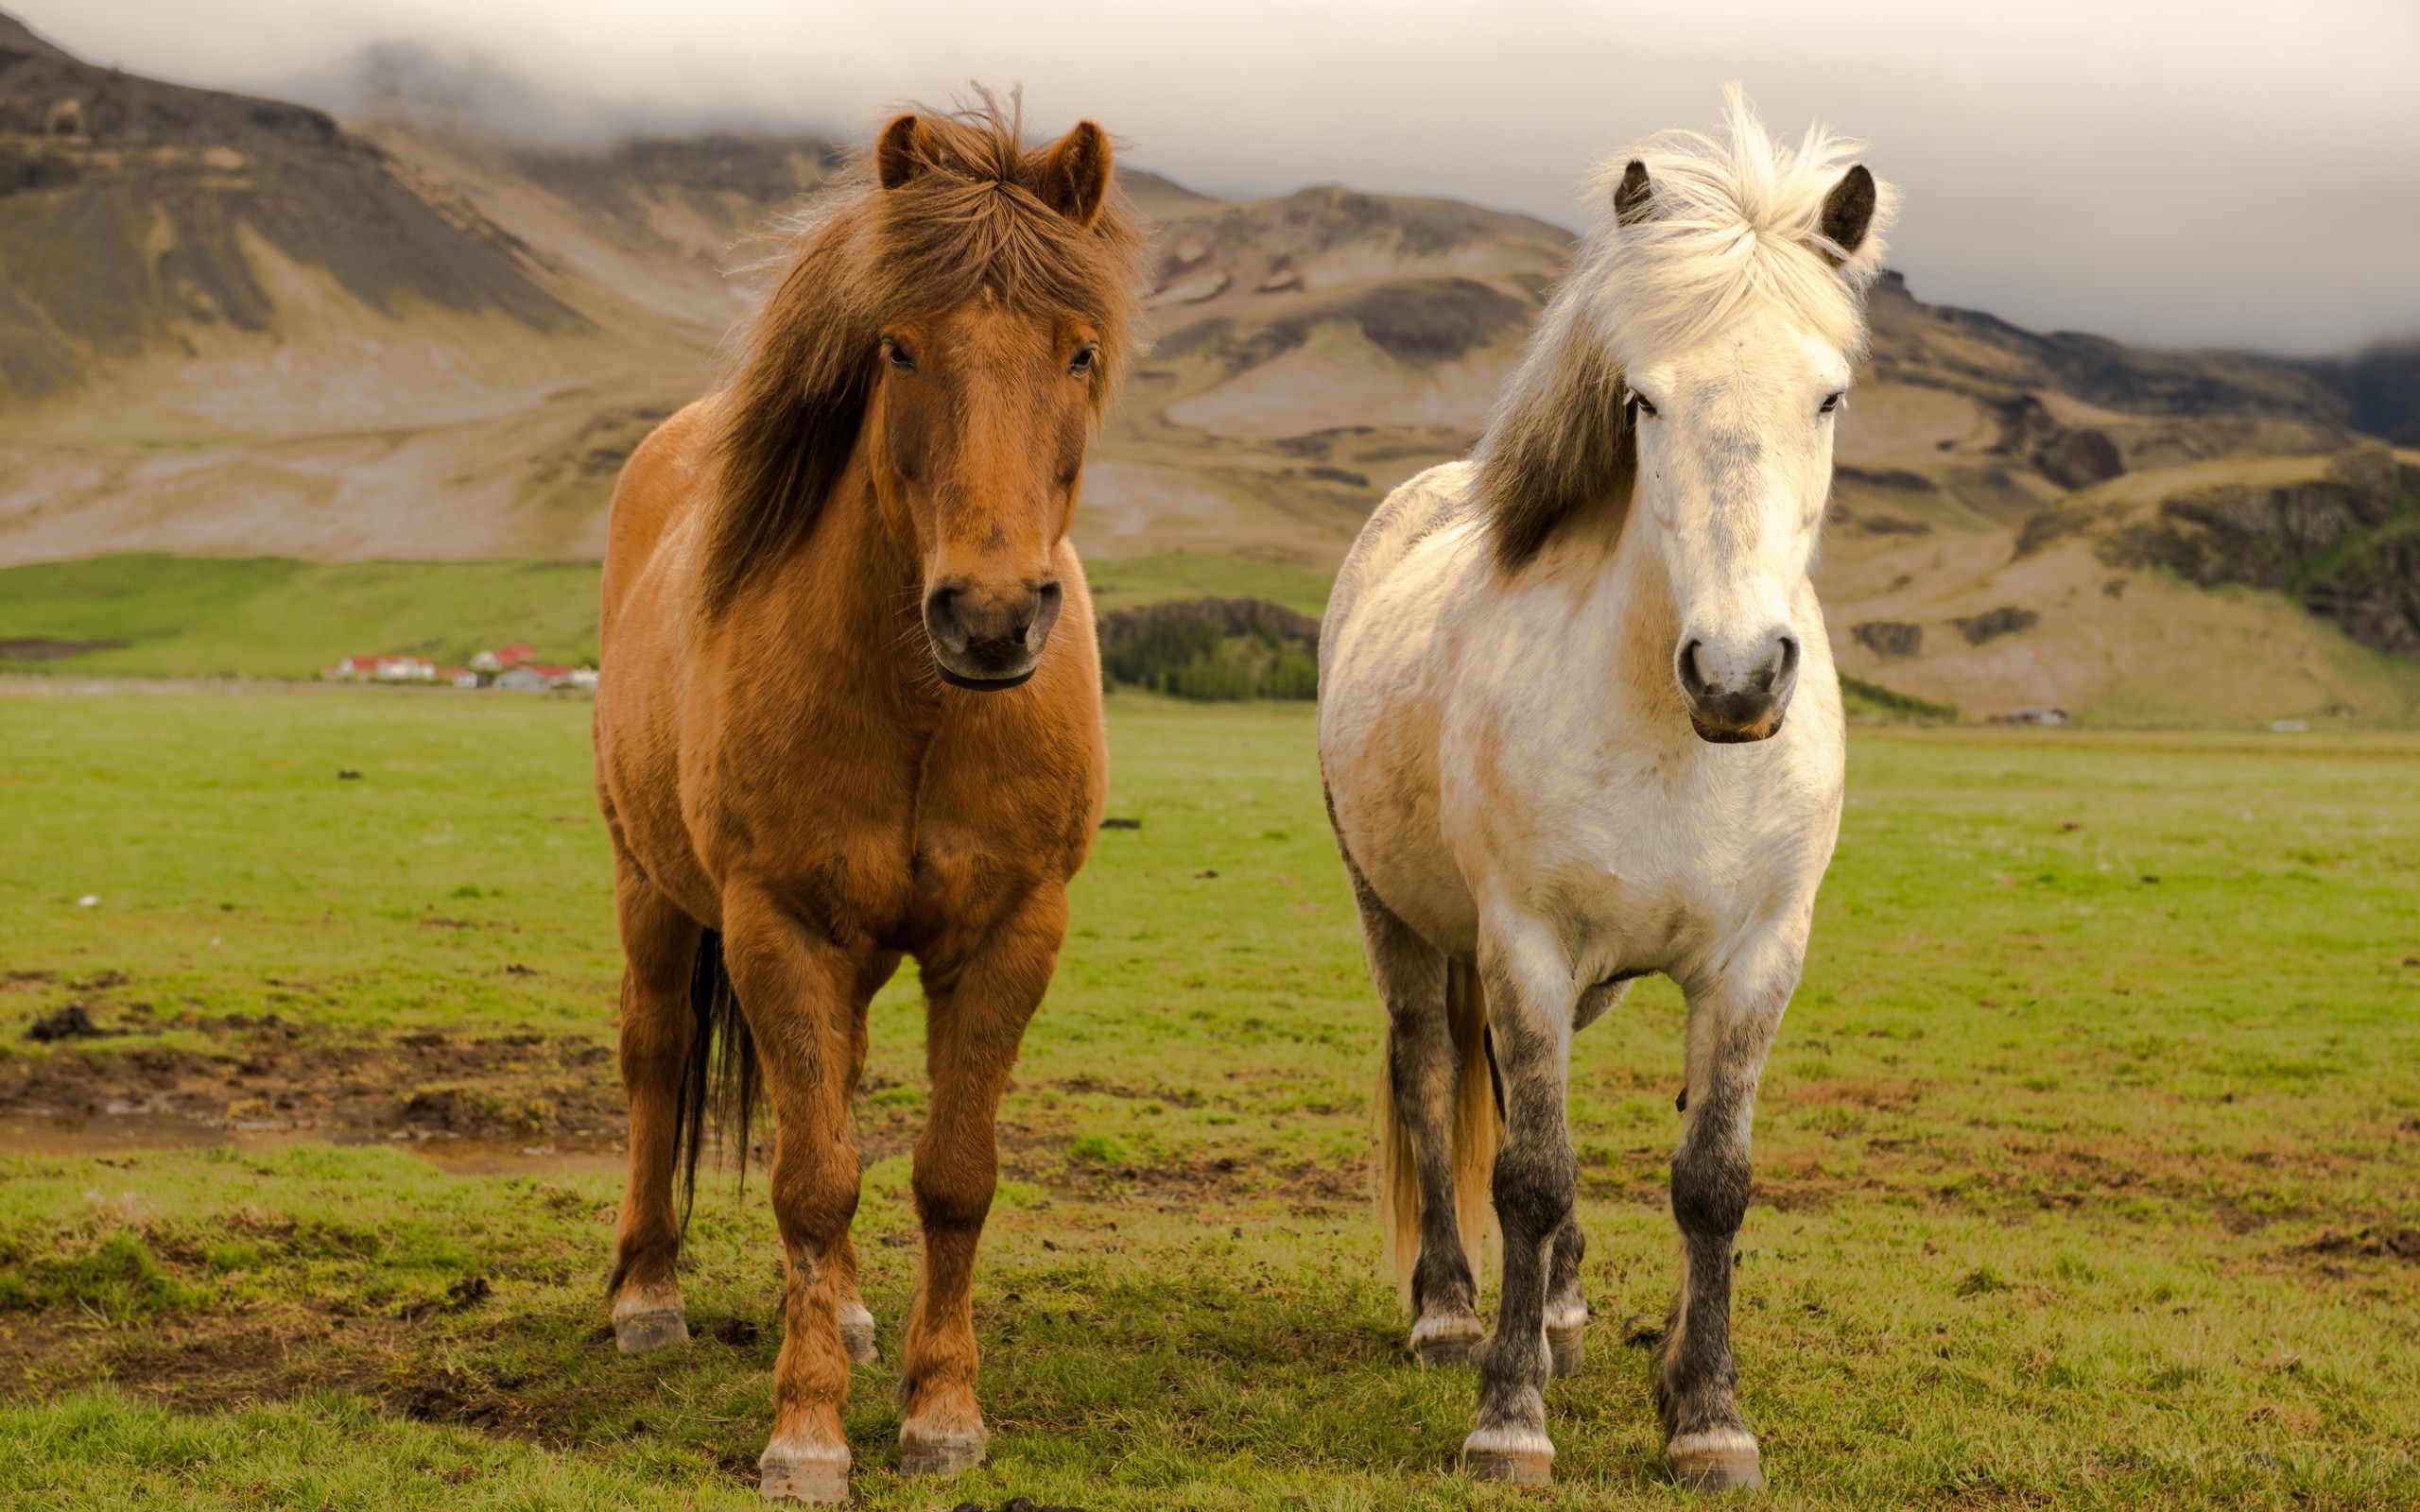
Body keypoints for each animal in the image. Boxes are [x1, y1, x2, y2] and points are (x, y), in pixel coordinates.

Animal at [593, 100, 1142, 1500]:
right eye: (898, 346)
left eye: (1079, 350)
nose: (991, 616)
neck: (922, 711)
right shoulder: (775, 921)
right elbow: (809, 1180)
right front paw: (807, 1436)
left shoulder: (1009, 933)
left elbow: (950, 1175)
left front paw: (942, 1413)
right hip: (653, 888)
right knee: (657, 1058)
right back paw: (648, 1296)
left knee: (831, 1079)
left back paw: (835, 1309)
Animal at [1325, 91, 1887, 1489]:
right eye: (1641, 400)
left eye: (1828, 396)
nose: (1737, 672)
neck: (1677, 742)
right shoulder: (1522, 943)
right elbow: (1529, 1169)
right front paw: (1508, 1416)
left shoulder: (1756, 959)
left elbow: (1711, 1177)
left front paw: (1705, 1412)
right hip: (1399, 919)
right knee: (1430, 1078)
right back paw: (1451, 1312)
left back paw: (1568, 1312)